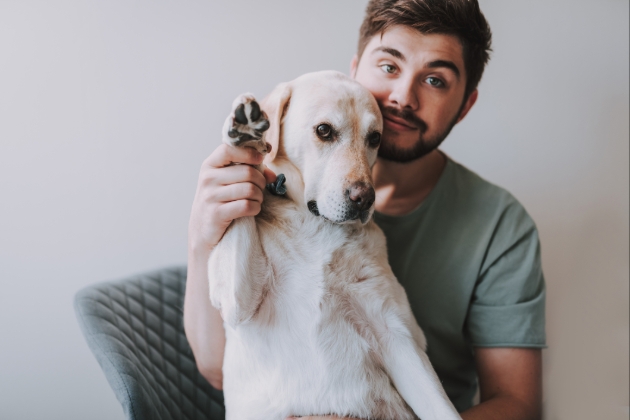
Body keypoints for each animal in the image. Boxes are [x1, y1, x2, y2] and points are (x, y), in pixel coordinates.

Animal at [207, 70, 460, 418]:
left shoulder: (397, 335)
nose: (365, 199)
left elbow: (442, 407)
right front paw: (247, 137)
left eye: (375, 138)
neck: (317, 223)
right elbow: (245, 199)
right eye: (324, 131)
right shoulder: (237, 300)